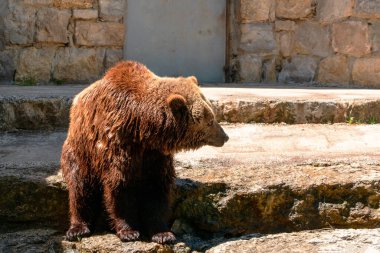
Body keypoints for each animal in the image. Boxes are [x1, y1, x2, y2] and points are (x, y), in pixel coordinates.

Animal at [61, 60, 229, 244]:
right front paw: (129, 231)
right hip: (81, 150)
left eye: (212, 116)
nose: (225, 136)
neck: (142, 128)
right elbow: (119, 186)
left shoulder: (154, 154)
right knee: (80, 187)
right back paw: (77, 228)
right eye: (210, 121)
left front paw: (163, 233)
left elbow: (156, 189)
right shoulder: (119, 144)